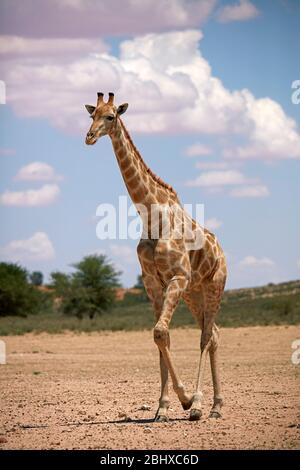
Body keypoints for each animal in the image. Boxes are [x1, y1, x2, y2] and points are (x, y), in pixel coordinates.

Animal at [85, 92, 226, 422]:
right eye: (91, 115)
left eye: (111, 116)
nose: (90, 136)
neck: (152, 218)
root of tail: (222, 251)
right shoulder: (153, 283)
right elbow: (161, 336)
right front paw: (162, 407)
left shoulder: (177, 276)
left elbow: (161, 331)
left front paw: (186, 400)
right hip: (194, 293)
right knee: (213, 333)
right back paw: (216, 405)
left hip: (214, 285)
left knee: (206, 336)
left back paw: (200, 404)